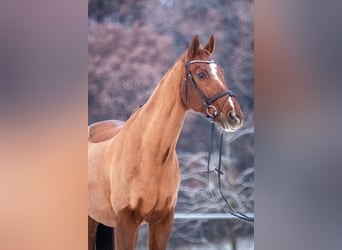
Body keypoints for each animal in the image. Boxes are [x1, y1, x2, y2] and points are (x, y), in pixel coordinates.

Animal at [88, 34, 243, 249]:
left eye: (220, 72)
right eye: (202, 74)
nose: (234, 115)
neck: (149, 155)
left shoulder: (163, 221)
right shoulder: (126, 221)